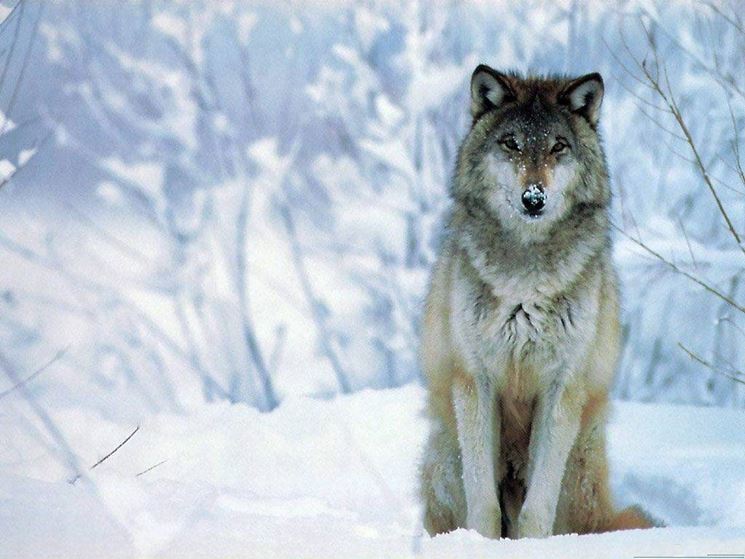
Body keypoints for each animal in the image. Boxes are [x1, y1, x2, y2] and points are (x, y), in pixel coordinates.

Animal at [416, 66, 652, 544]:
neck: (525, 279)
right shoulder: (475, 380)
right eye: (512, 144)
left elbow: (536, 509)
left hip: (578, 466)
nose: (534, 198)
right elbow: (484, 504)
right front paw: (481, 546)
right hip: (446, 453)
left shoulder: (561, 387)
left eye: (558, 147)